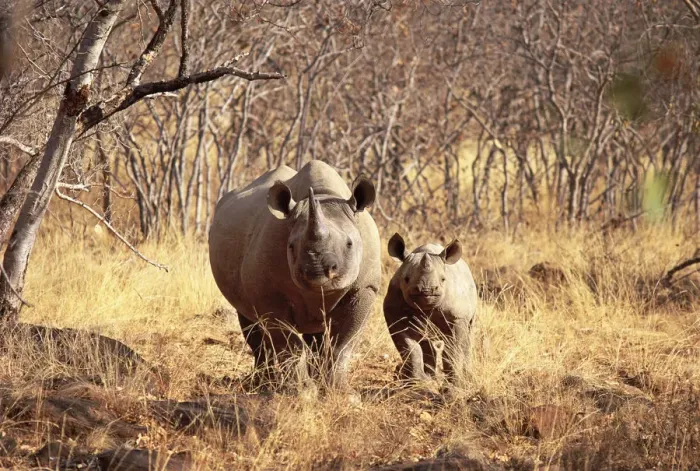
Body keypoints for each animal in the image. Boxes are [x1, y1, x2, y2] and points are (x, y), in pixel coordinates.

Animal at [209, 161, 381, 391]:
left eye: (349, 244)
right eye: (291, 246)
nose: (317, 270)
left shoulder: (365, 288)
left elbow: (342, 343)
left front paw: (342, 393)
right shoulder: (266, 290)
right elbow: (289, 344)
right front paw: (303, 392)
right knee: (252, 323)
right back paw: (263, 386)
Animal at [383, 233, 477, 383]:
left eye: (443, 279)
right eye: (406, 279)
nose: (426, 290)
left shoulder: (457, 317)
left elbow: (453, 350)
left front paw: (454, 385)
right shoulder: (395, 314)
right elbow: (409, 348)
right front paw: (419, 382)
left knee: (467, 337)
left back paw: (467, 376)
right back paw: (429, 377)